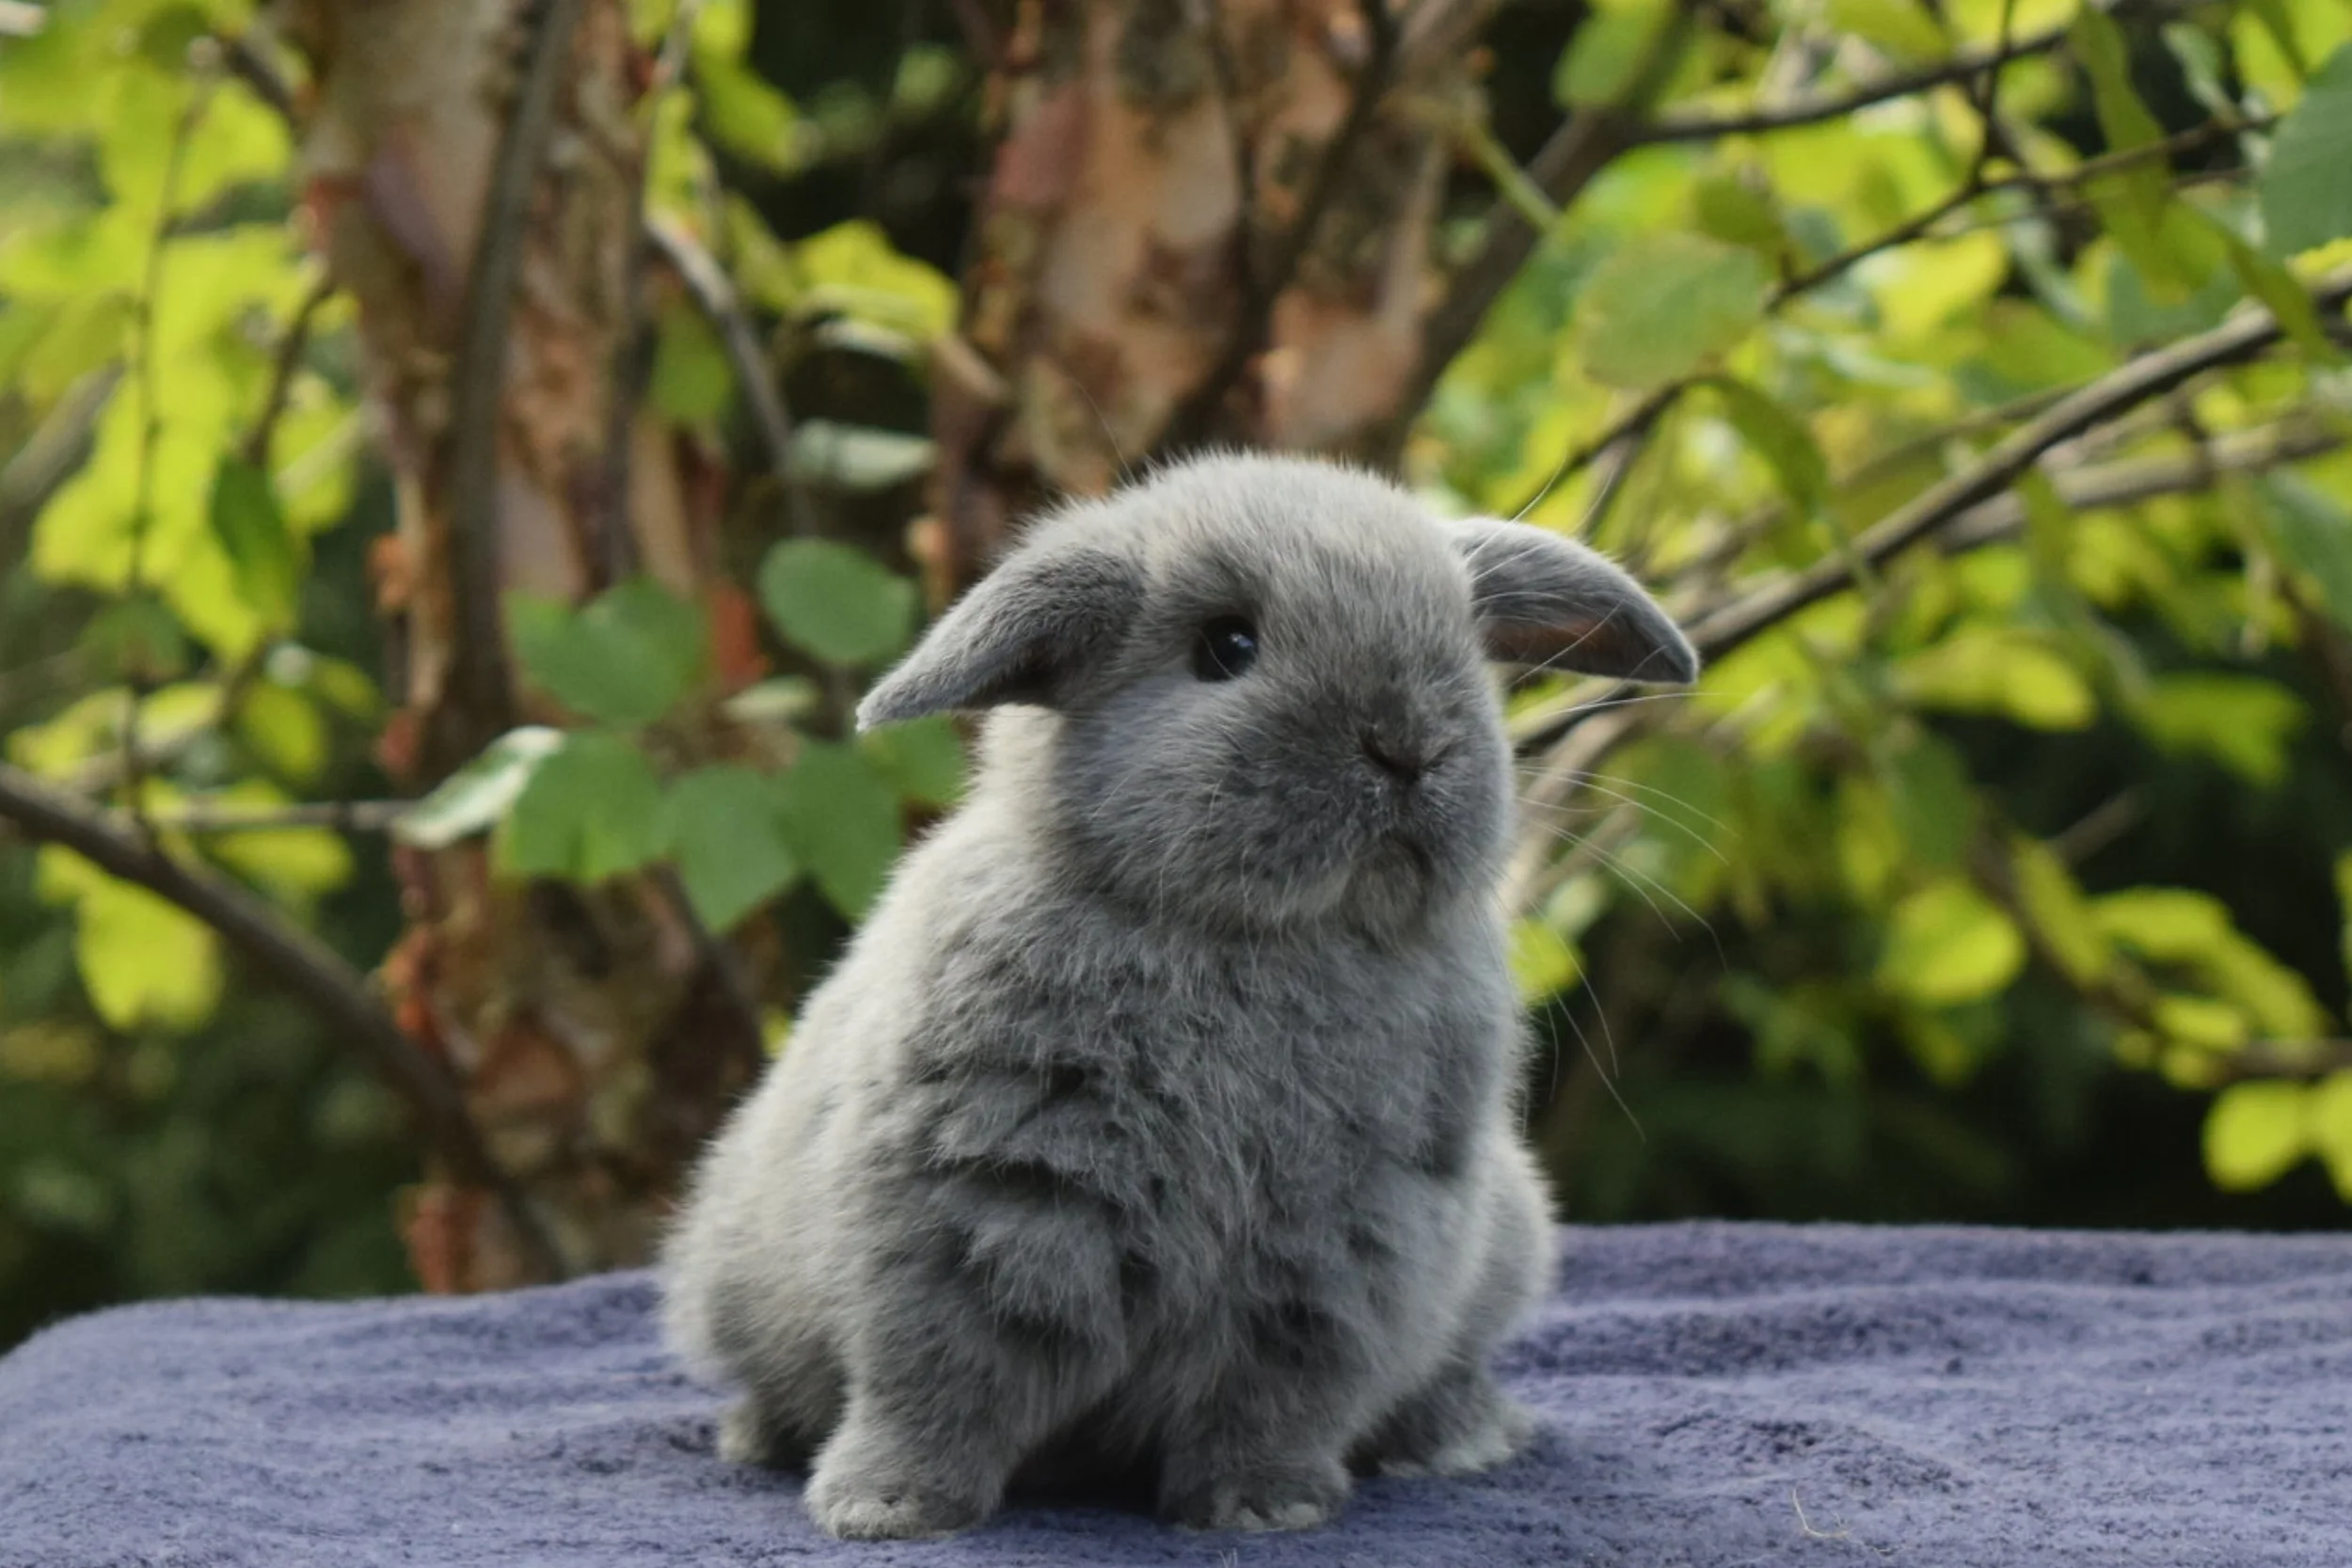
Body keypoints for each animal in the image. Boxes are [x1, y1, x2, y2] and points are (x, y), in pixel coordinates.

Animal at [660, 452, 1699, 1540]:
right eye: (1226, 646)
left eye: (1461, 640)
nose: (1409, 744)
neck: (1259, 938)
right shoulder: (967, 1209)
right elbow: (935, 1381)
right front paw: (886, 1507)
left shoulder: (1344, 1250)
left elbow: (1274, 1398)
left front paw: (1264, 1505)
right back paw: (759, 1439)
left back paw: (1459, 1439)